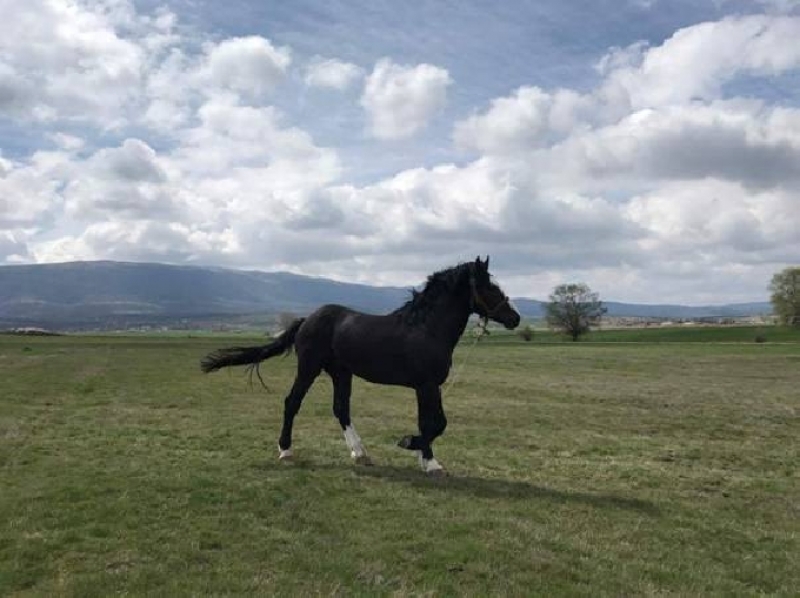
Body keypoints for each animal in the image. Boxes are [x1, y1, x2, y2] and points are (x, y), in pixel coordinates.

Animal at [202, 258, 520, 478]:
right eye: (489, 287)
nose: (514, 318)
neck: (425, 328)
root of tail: (307, 319)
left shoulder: (431, 386)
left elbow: (436, 423)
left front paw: (420, 453)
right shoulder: (425, 385)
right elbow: (431, 424)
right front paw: (421, 454)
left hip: (341, 373)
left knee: (341, 409)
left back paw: (360, 454)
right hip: (309, 368)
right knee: (292, 403)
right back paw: (286, 451)